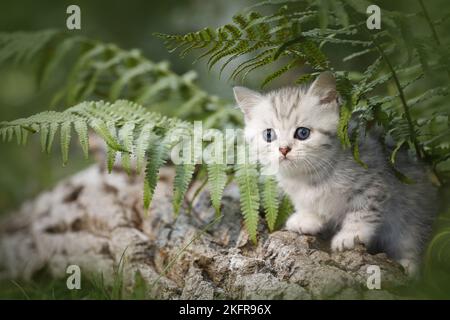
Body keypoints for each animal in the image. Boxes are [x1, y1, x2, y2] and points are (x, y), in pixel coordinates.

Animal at [234, 72, 438, 276]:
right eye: (269, 135)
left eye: (302, 133)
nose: (283, 149)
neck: (310, 176)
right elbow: (307, 203)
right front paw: (308, 218)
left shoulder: (373, 181)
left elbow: (364, 210)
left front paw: (351, 234)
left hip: (414, 211)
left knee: (412, 238)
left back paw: (408, 265)